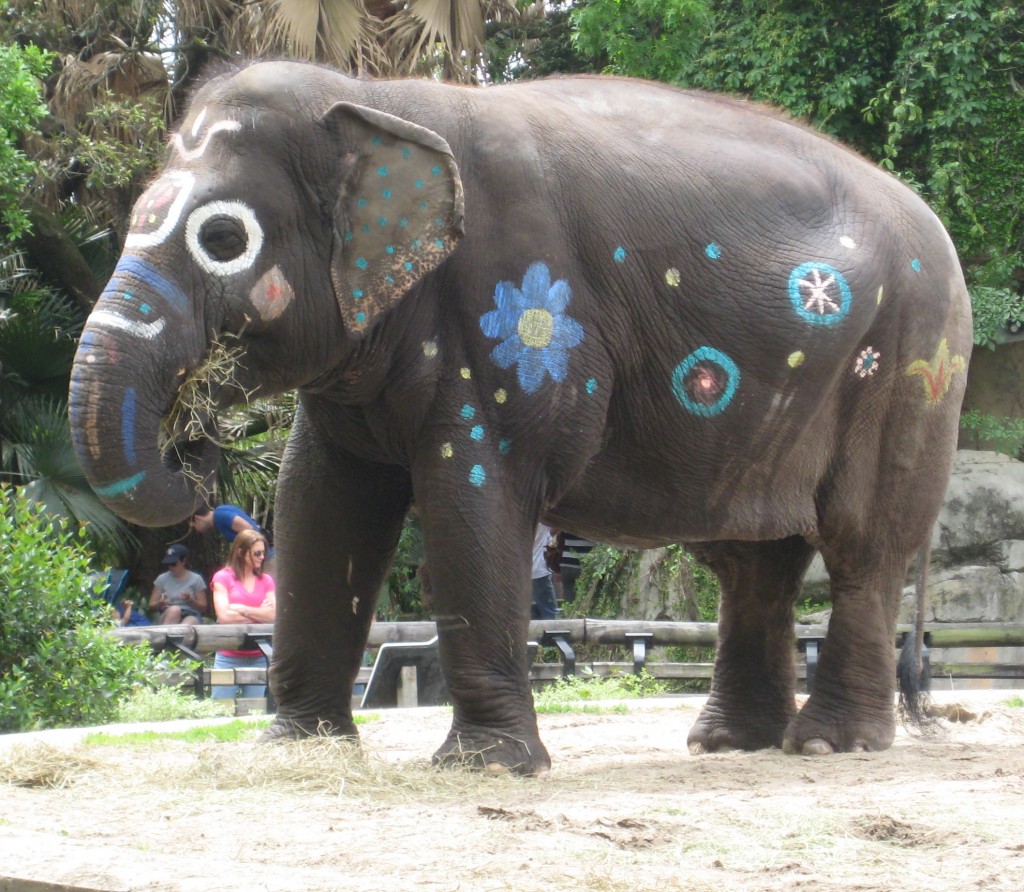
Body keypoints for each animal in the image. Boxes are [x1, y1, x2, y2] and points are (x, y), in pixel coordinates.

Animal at [68, 60, 972, 775]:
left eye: (223, 238)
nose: (195, 451)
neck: (375, 97)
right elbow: (319, 503)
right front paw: (296, 748)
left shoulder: (515, 309)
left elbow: (476, 491)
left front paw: (487, 767)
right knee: (754, 562)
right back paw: (728, 744)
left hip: (911, 366)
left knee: (859, 548)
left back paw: (829, 744)